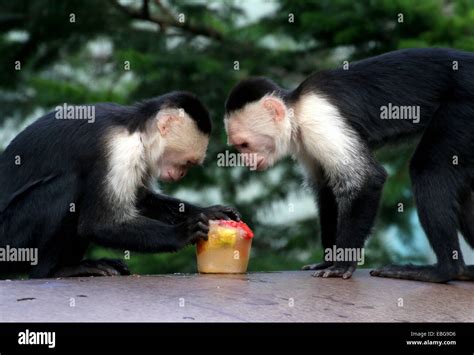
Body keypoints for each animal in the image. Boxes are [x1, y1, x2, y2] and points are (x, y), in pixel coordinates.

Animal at [0, 90, 241, 280]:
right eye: (187, 162)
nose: (181, 174)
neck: (135, 127)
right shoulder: (121, 149)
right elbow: (99, 224)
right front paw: (182, 233)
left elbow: (141, 199)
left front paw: (210, 211)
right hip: (12, 241)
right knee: (70, 184)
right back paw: (54, 271)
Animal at [225, 48, 474, 286]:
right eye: (238, 147)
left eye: (244, 145)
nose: (247, 161)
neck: (297, 109)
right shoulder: (305, 142)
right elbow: (326, 191)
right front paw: (328, 260)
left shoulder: (318, 120)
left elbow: (366, 180)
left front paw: (341, 265)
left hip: (464, 108)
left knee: (428, 168)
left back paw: (444, 271)